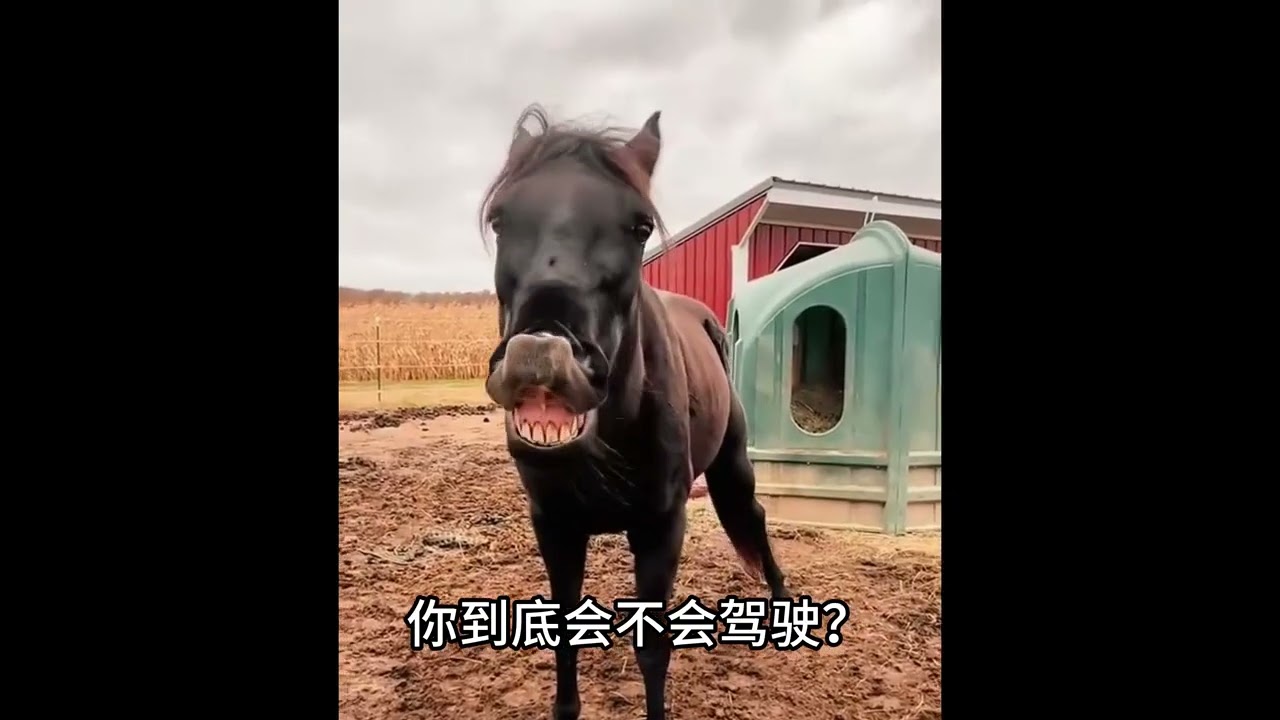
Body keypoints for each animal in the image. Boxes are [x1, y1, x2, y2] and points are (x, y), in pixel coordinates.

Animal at [479, 103, 791, 720]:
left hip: (731, 471)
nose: (541, 355)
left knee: (753, 518)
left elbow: (653, 651)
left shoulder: (659, 526)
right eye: (500, 219)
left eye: (640, 225)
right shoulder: (554, 525)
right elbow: (562, 638)